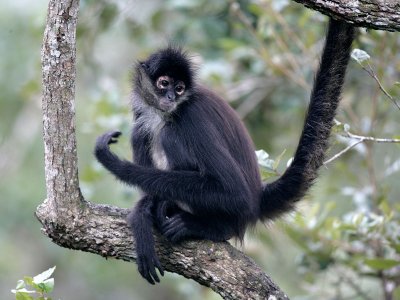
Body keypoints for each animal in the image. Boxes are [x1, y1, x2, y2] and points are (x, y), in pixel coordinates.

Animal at [95, 18, 354, 284]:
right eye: (164, 83)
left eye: (180, 88)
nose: (170, 97)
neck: (163, 114)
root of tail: (258, 199)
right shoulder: (142, 113)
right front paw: (142, 214)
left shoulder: (191, 117)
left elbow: (234, 192)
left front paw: (117, 165)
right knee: (141, 134)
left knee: (170, 136)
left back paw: (211, 226)